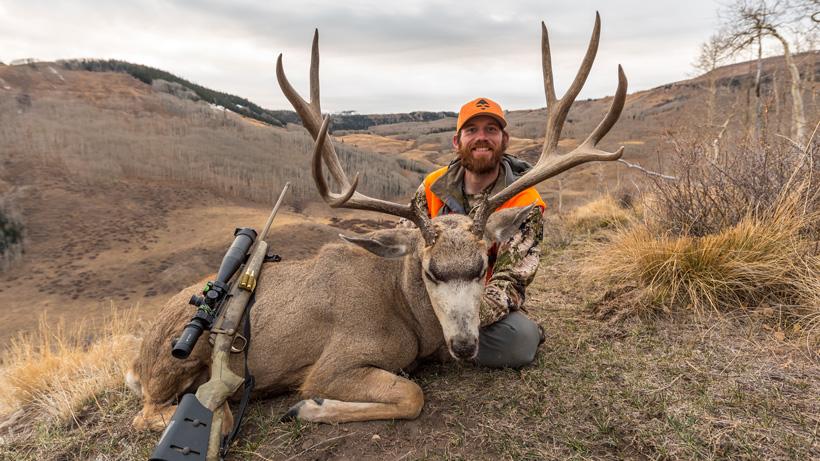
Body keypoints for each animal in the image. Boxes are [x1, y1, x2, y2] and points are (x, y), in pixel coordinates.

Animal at [128, 12, 627, 429]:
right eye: (430, 271)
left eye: (483, 265)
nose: (465, 346)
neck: (401, 306)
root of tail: (137, 362)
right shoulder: (337, 360)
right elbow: (410, 395)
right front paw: (306, 406)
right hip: (179, 357)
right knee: (157, 413)